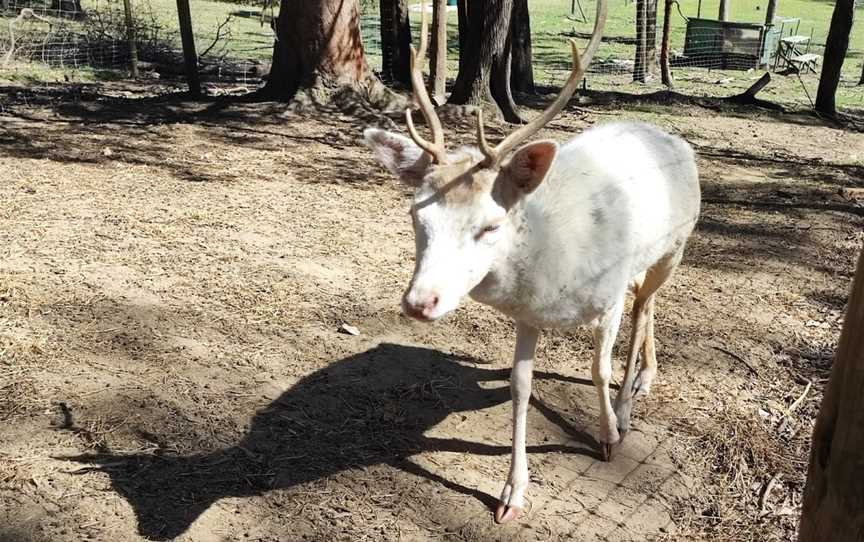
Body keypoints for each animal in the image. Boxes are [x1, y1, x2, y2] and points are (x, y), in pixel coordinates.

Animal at [362, 0, 700, 528]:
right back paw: (646, 376)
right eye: (417, 213)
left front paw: (608, 436)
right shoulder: (527, 315)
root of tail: (672, 137)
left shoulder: (607, 296)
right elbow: (520, 387)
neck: (554, 273)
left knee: (645, 304)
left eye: (490, 225)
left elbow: (598, 368)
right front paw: (511, 493)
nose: (420, 302)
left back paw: (630, 400)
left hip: (676, 245)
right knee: (648, 301)